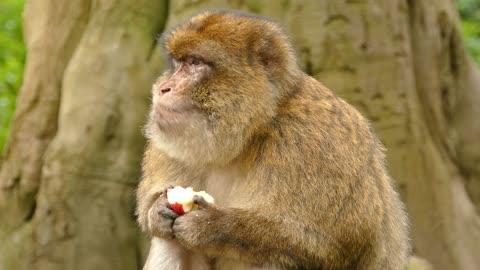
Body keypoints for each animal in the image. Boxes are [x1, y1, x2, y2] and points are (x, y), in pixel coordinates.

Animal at [135, 9, 408, 270]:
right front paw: (157, 210)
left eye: (194, 62)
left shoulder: (316, 141)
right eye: (177, 63)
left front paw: (213, 226)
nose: (164, 88)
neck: (252, 133)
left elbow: (338, 243)